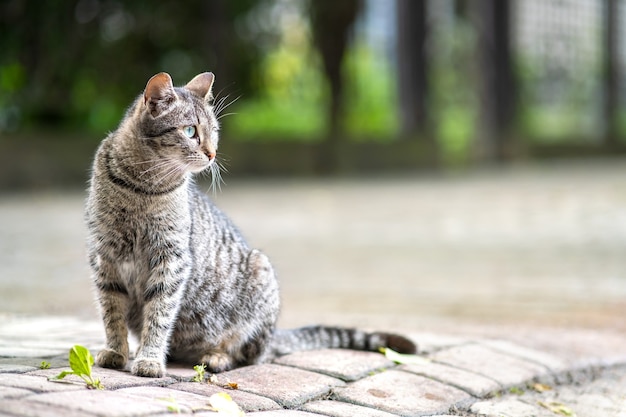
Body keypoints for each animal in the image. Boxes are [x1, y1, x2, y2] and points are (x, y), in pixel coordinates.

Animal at [83, 71, 414, 376]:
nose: (212, 153)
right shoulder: (105, 257)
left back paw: (216, 356)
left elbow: (159, 314)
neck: (141, 187)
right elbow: (112, 313)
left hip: (260, 275)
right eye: (190, 131)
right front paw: (117, 351)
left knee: (249, 355)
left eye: (214, 132)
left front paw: (150, 358)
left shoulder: (171, 259)